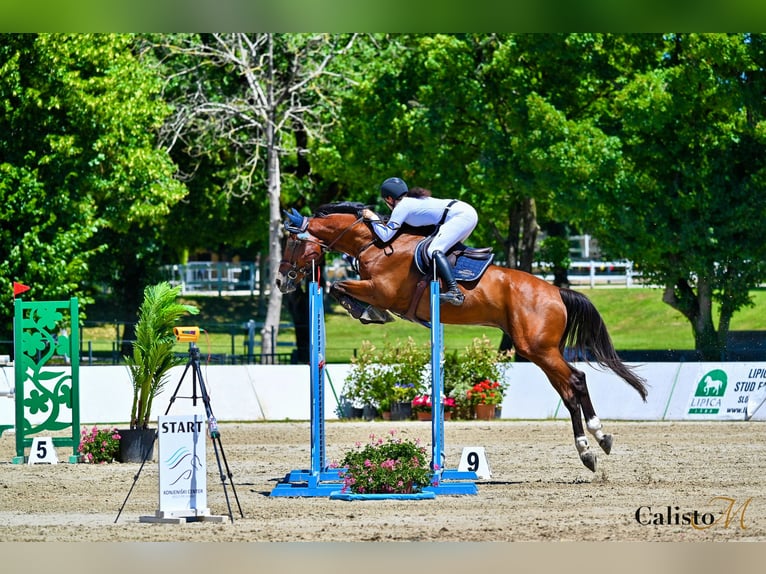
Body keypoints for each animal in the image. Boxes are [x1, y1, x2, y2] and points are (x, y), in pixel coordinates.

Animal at [277, 201, 648, 472]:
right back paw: (592, 448)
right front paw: (366, 312)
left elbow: (340, 286)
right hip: (540, 351)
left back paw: (596, 440)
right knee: (569, 390)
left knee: (576, 380)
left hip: (538, 348)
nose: (281, 282)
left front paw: (367, 312)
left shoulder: (381, 290)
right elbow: (339, 287)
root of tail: (556, 291)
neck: (374, 243)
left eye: (292, 243)